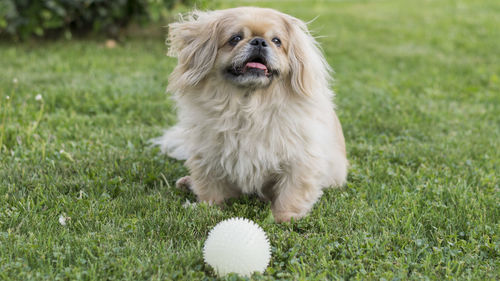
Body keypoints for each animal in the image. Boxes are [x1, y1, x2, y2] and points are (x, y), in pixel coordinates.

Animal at [153, 6, 348, 222]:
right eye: (235, 38)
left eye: (277, 41)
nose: (259, 41)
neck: (248, 106)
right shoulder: (208, 155)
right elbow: (210, 186)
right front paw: (208, 208)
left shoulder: (300, 160)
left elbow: (292, 192)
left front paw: (284, 217)